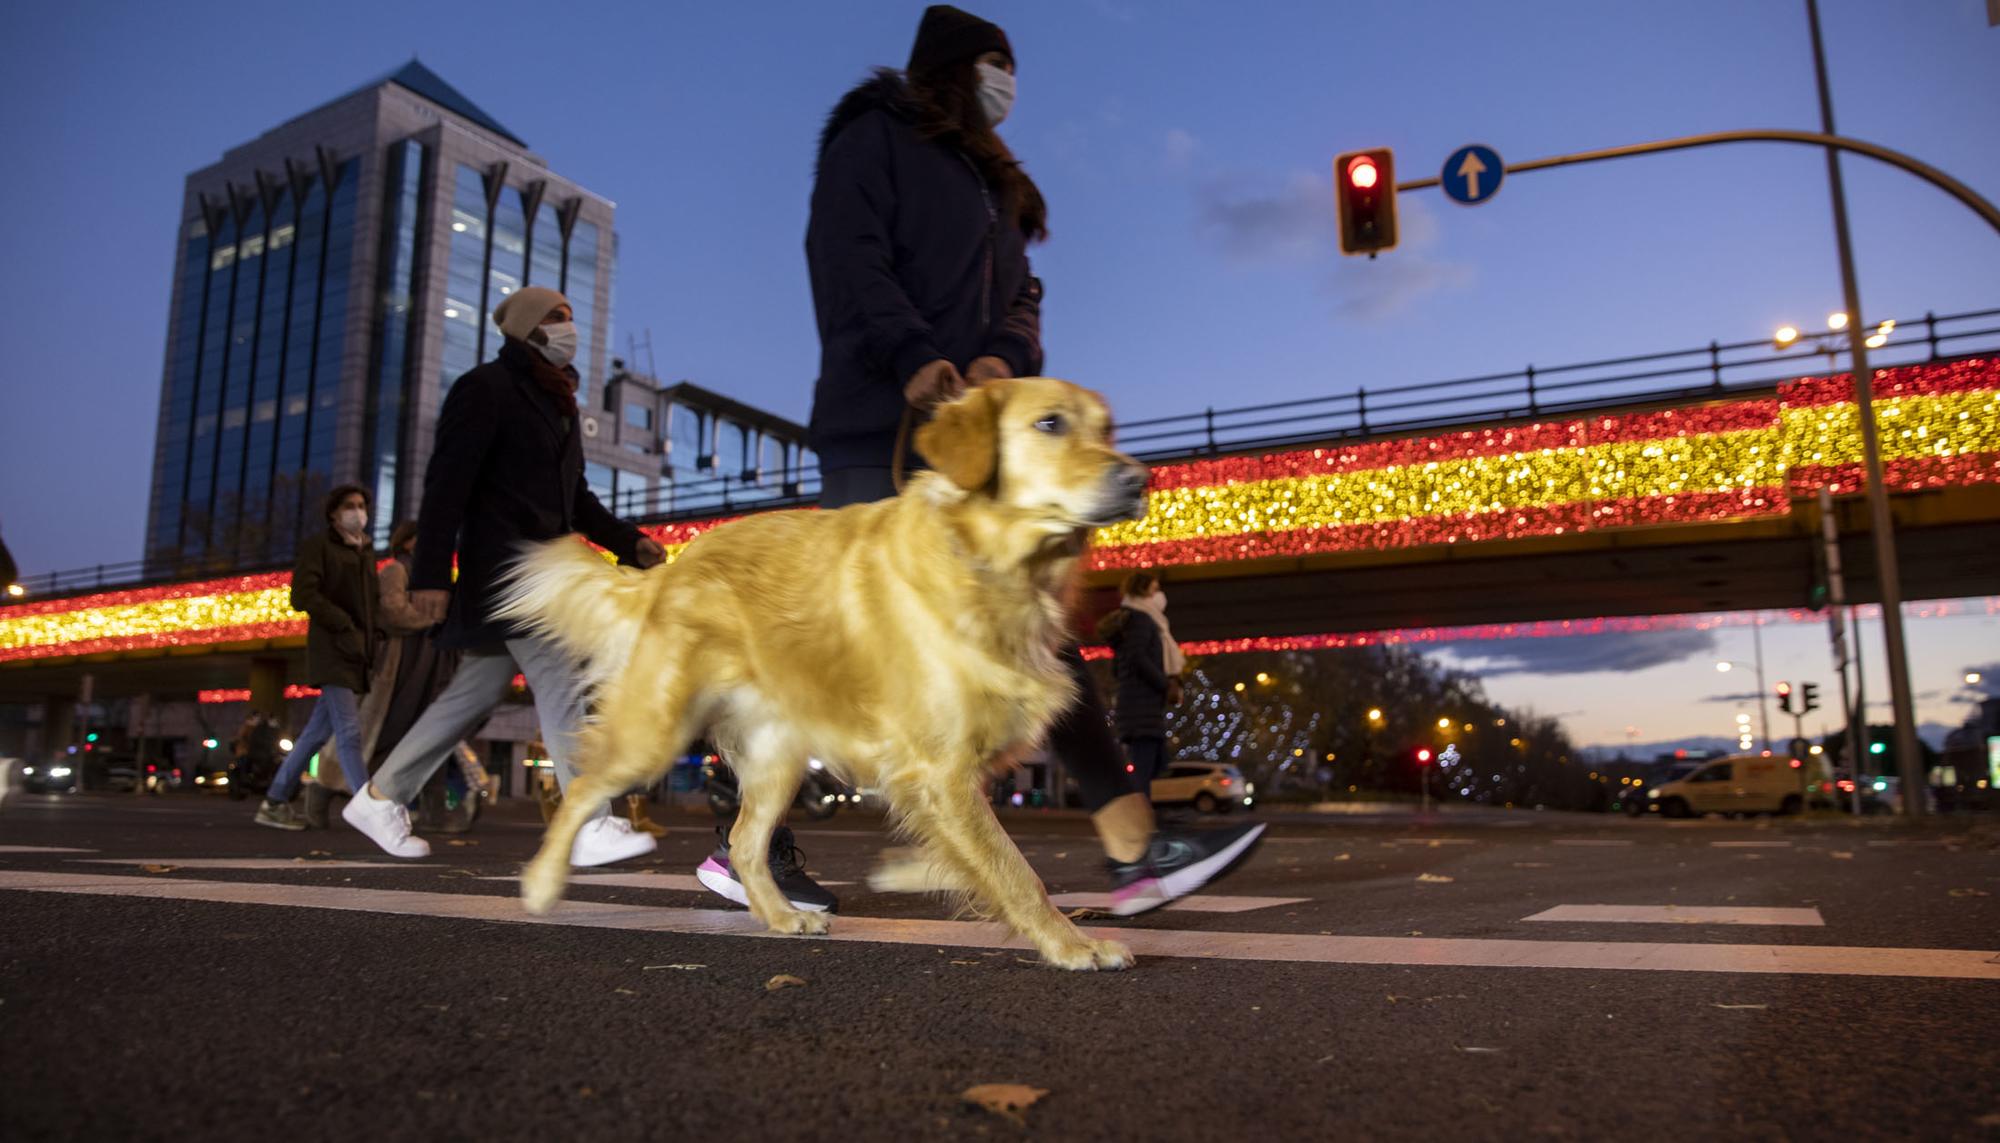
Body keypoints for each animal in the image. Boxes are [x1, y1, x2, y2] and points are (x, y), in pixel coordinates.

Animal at [500, 379, 1152, 967]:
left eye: (1107, 429)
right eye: (1050, 424)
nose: (1140, 481)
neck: (993, 568)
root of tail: (670, 571)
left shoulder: (956, 773)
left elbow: (980, 854)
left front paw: (909, 873)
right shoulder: (939, 769)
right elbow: (1015, 868)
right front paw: (1072, 945)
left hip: (778, 760)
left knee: (744, 842)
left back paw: (783, 914)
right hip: (654, 734)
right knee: (583, 787)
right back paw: (541, 884)